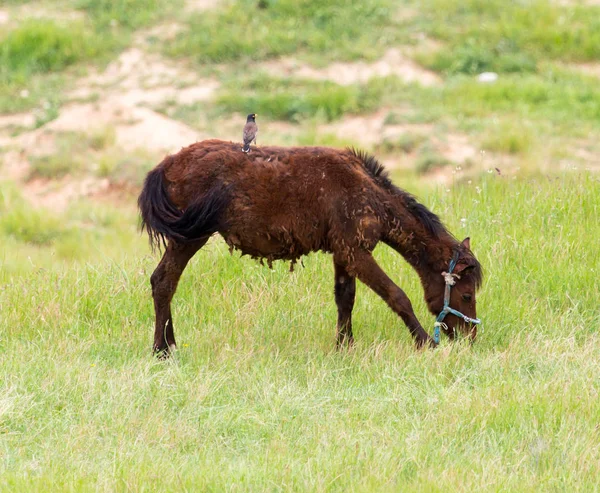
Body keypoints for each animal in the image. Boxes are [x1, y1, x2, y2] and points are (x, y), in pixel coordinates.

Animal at [137, 138, 482, 354]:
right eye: (466, 295)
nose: (470, 338)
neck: (369, 194)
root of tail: (166, 165)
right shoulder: (357, 254)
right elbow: (397, 296)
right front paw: (426, 342)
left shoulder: (344, 253)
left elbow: (345, 299)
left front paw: (345, 346)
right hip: (188, 238)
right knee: (164, 282)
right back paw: (162, 350)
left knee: (162, 281)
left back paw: (169, 344)